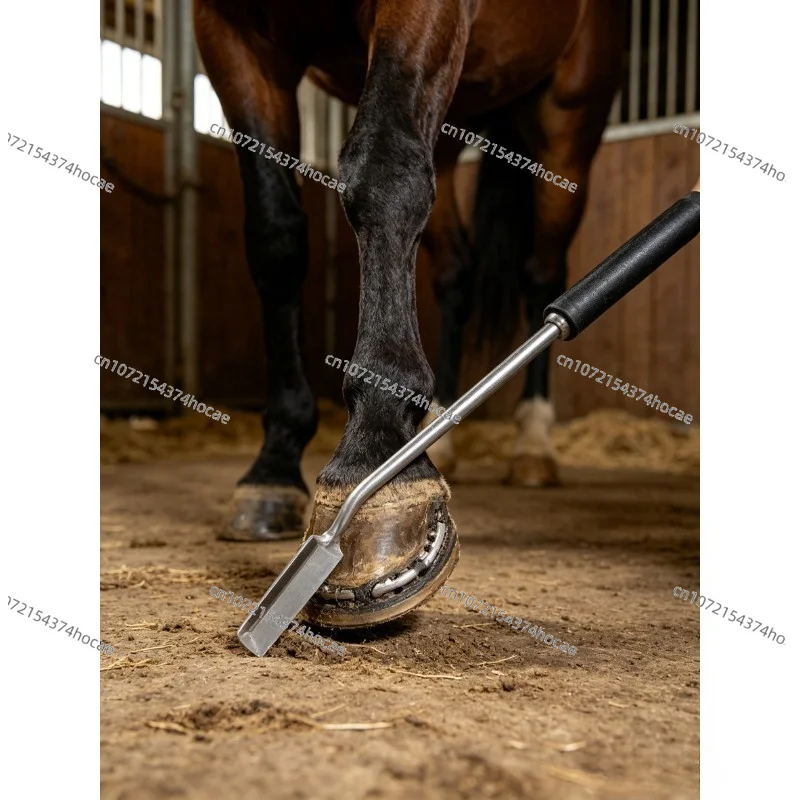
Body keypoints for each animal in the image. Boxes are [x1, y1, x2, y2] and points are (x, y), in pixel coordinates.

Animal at [194, 0, 627, 630]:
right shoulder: (229, 30)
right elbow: (276, 236)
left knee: (542, 273)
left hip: (569, 119)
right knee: (456, 276)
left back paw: (532, 443)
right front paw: (273, 467)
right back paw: (438, 427)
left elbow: (383, 171)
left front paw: (376, 452)